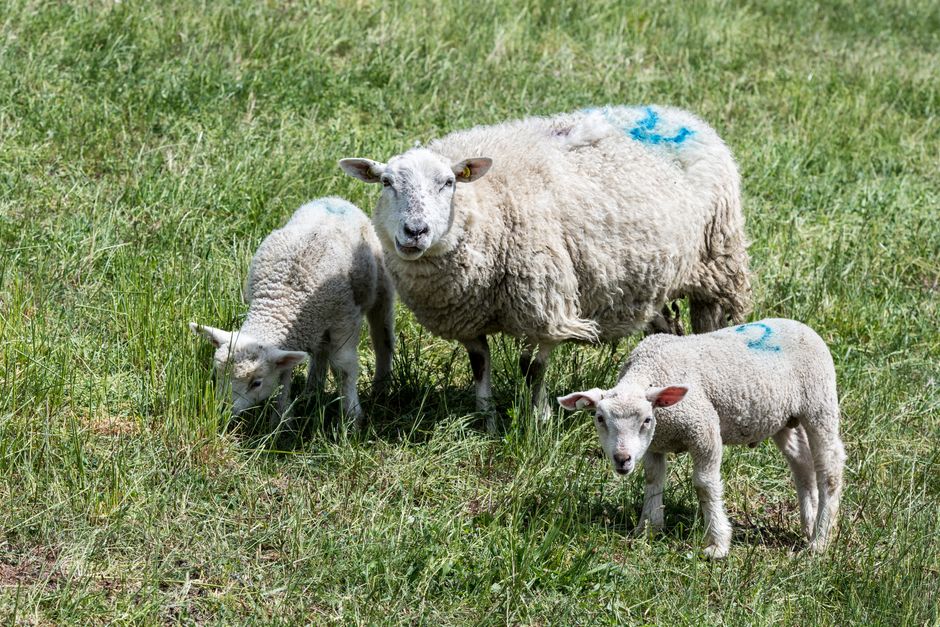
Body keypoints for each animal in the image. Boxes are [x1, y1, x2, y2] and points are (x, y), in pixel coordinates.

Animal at [190, 197, 395, 431]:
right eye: (217, 373)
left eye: (256, 383)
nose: (223, 413)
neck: (281, 300)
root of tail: (335, 199)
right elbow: (284, 373)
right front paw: (282, 419)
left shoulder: (344, 320)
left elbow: (344, 367)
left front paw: (352, 417)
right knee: (321, 351)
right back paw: (312, 391)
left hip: (380, 287)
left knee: (381, 337)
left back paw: (380, 385)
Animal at [339, 105, 750, 421]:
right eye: (387, 183)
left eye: (448, 183)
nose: (415, 231)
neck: (487, 205)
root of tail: (681, 115)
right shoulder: (466, 313)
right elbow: (479, 364)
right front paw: (485, 417)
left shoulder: (545, 301)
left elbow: (533, 367)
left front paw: (539, 419)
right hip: (649, 276)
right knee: (666, 327)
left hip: (717, 260)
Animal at [558, 318, 846, 558]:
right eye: (599, 419)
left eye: (647, 420)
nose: (622, 459)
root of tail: (800, 325)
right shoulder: (654, 445)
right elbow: (653, 480)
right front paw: (648, 528)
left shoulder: (704, 429)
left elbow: (704, 485)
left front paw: (717, 543)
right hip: (782, 418)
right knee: (801, 463)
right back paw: (809, 523)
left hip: (819, 402)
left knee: (829, 467)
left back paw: (820, 539)